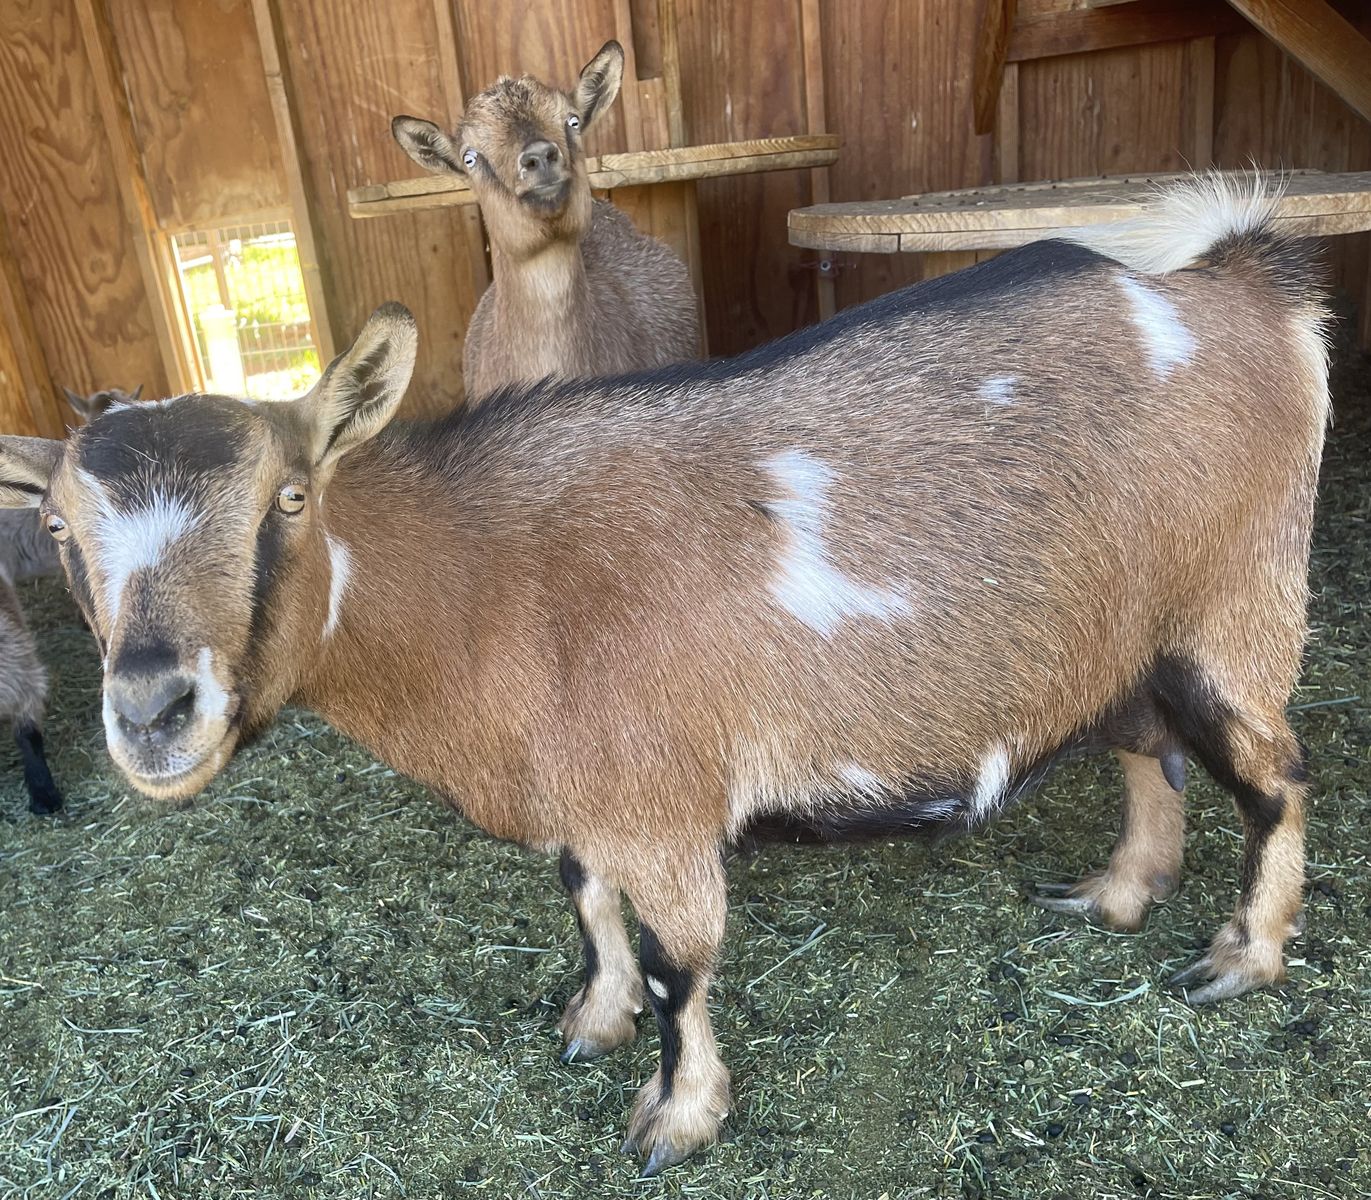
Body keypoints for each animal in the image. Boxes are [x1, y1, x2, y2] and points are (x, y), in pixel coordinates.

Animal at [0, 176, 1329, 1174]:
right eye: (58, 526)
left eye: (287, 497)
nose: (153, 710)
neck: (496, 583)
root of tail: (1247, 285)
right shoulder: (589, 791)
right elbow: (587, 900)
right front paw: (592, 1021)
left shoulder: (663, 800)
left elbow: (679, 965)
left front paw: (676, 1119)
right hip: (1123, 637)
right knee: (1149, 751)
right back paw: (1117, 894)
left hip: (1233, 611)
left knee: (1274, 777)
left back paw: (1242, 957)